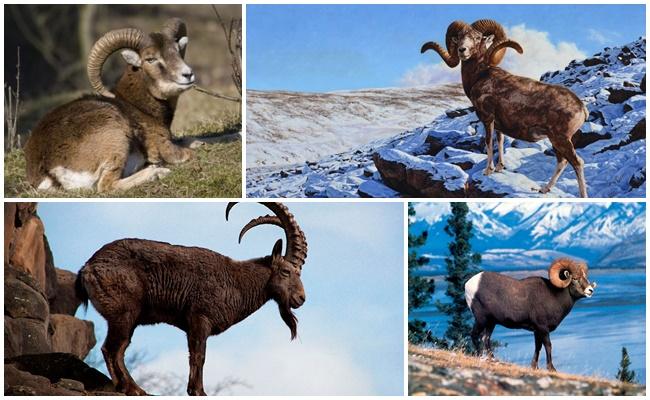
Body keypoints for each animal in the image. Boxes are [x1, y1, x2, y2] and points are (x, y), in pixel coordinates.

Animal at [24, 18, 195, 192]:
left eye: (177, 51)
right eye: (150, 59)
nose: (188, 74)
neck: (139, 106)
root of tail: (49, 171)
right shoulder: (166, 148)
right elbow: (190, 152)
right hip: (116, 140)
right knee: (107, 185)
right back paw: (157, 171)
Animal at [74, 202, 308, 396]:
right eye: (286, 271)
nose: (301, 298)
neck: (238, 282)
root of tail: (88, 267)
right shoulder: (199, 319)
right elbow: (198, 356)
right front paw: (198, 391)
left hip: (127, 319)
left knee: (118, 349)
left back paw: (128, 387)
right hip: (124, 314)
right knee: (112, 349)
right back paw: (132, 388)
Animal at [420, 20, 588, 198]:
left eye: (477, 37)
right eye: (459, 37)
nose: (462, 50)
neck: (479, 76)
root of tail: (582, 109)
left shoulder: (487, 118)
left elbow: (488, 141)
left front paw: (488, 170)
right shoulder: (498, 124)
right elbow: (499, 141)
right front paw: (500, 168)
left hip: (561, 139)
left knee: (577, 162)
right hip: (556, 141)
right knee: (562, 162)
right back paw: (544, 189)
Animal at [464, 260, 596, 372]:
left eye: (585, 277)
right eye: (575, 279)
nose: (590, 290)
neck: (554, 297)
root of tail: (469, 284)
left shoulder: (537, 330)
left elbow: (538, 347)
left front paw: (534, 367)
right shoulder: (543, 328)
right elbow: (548, 346)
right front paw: (551, 369)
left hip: (491, 322)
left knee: (485, 338)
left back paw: (493, 359)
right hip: (481, 319)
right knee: (475, 335)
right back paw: (480, 357)